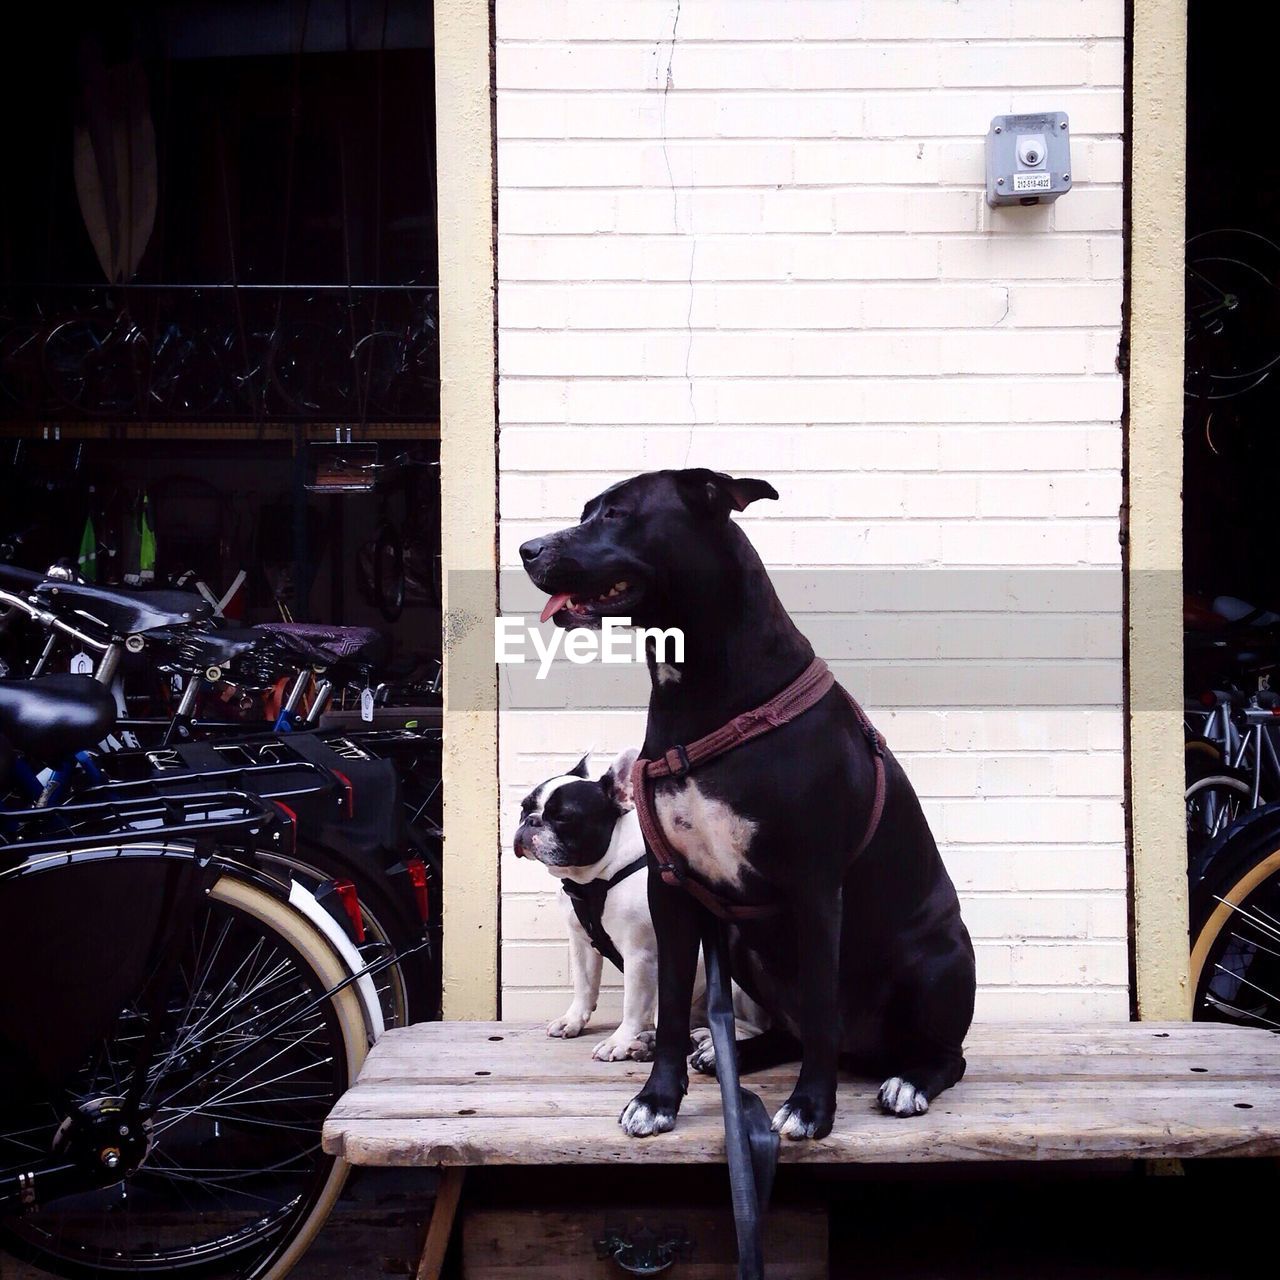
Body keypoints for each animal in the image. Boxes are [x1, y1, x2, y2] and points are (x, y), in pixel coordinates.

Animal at [519, 471, 977, 1141]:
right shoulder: (672, 889)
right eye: (585, 511)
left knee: (939, 1052)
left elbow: (820, 1009)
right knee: (790, 1029)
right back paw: (723, 1053)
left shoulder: (815, 890)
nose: (528, 550)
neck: (701, 691)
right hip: (736, 939)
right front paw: (657, 1098)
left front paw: (811, 1108)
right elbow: (673, 1007)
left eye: (618, 513)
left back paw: (909, 1080)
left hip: (939, 958)